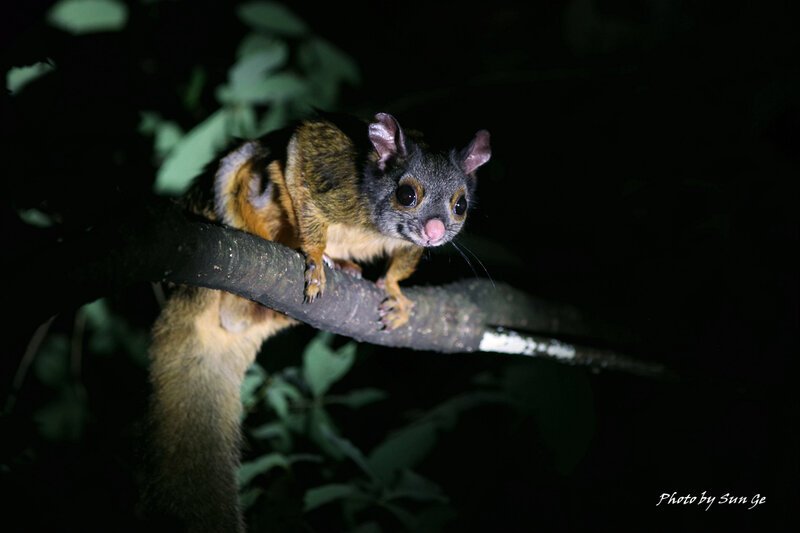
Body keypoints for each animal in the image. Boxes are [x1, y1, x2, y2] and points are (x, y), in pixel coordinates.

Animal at [144, 112, 491, 531]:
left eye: (460, 205)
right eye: (407, 195)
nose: (435, 230)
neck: (374, 220)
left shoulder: (411, 242)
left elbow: (404, 260)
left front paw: (394, 289)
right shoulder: (332, 167)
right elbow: (299, 152)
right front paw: (314, 255)